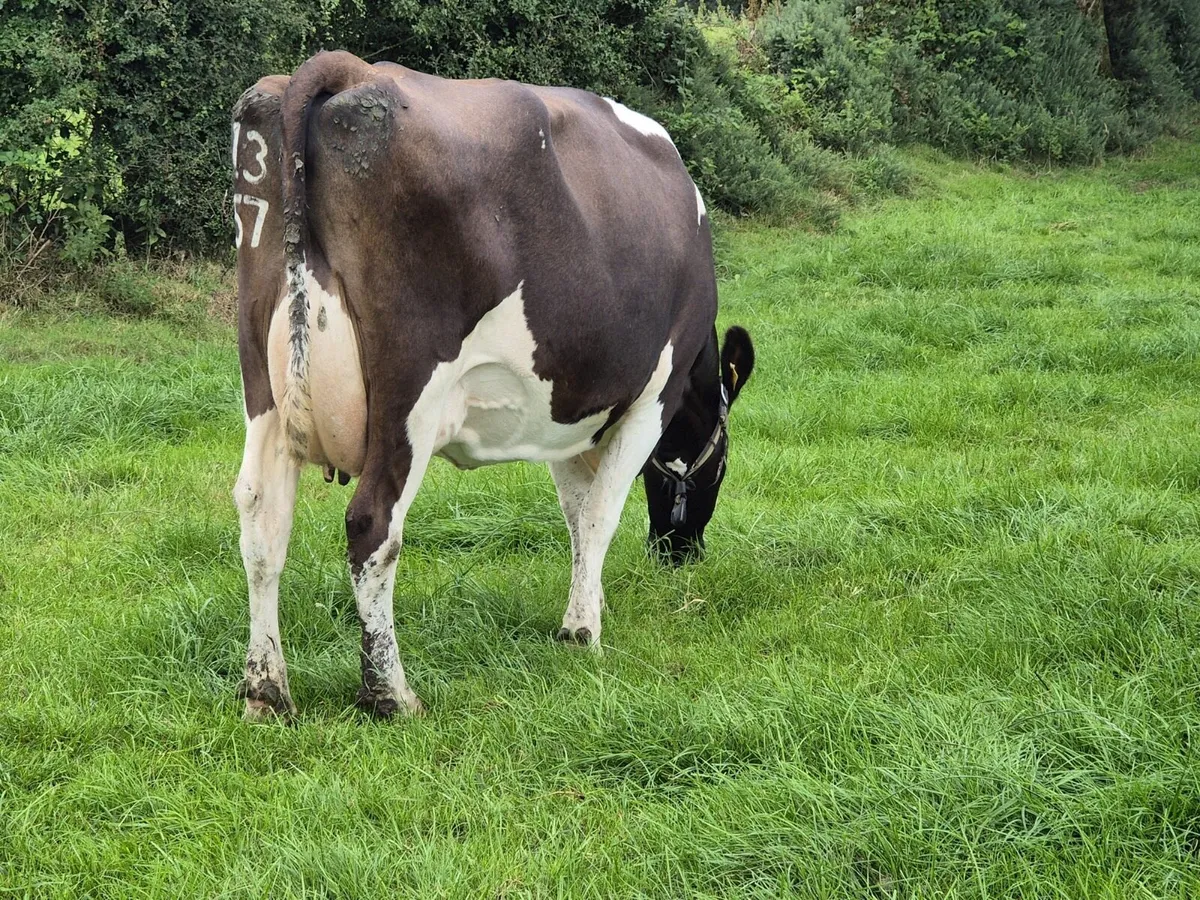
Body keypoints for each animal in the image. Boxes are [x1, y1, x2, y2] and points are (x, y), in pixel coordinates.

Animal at [231, 51, 755, 719]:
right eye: (722, 465)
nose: (680, 553)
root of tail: (354, 72)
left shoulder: (568, 412)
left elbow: (575, 514)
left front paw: (588, 603)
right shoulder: (650, 399)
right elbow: (600, 513)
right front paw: (583, 632)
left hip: (262, 374)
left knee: (261, 514)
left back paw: (267, 690)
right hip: (411, 390)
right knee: (372, 523)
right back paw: (390, 694)